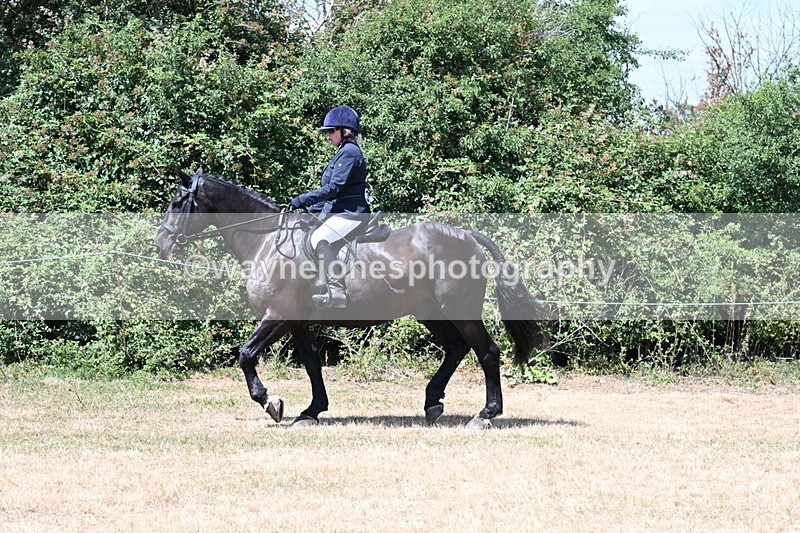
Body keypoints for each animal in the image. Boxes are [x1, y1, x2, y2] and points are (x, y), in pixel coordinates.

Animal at [155, 168, 545, 428]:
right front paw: (311, 411)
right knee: (456, 348)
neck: (266, 241)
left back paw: (486, 414)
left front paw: (270, 402)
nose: (161, 245)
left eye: (178, 201)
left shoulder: (279, 314)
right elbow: (312, 364)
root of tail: (465, 235)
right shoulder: (297, 321)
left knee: (487, 352)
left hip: (460, 310)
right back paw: (433, 403)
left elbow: (246, 354)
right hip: (429, 312)